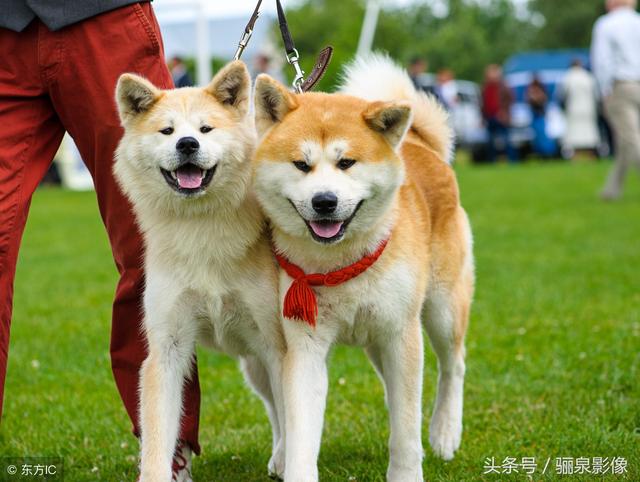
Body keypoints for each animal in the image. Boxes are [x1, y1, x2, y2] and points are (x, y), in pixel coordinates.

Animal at [114, 60, 284, 482]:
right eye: (167, 131)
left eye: (206, 129)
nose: (187, 144)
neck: (201, 228)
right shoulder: (166, 347)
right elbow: (158, 433)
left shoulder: (277, 342)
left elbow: (296, 413)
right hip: (254, 364)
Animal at [252, 54, 472, 480]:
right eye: (301, 165)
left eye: (346, 162)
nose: (324, 201)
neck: (340, 262)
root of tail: (420, 145)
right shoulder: (304, 344)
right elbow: (301, 430)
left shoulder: (401, 334)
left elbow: (406, 430)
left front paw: (406, 472)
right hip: (377, 339)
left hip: (440, 307)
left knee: (453, 365)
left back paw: (445, 432)